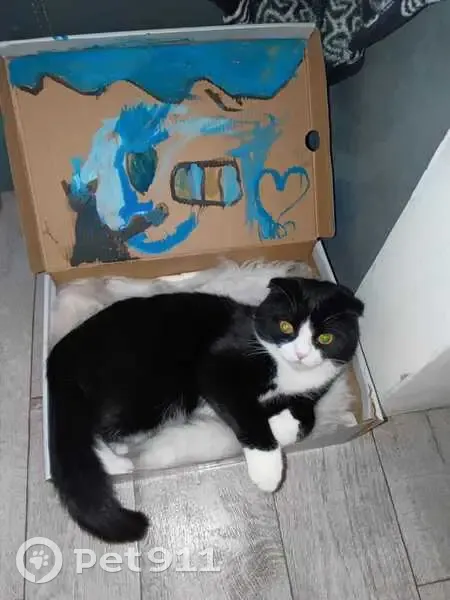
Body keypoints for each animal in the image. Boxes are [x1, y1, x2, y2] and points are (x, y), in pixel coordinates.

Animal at [47, 276, 363, 543]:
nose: (301, 354)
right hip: (147, 390)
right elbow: (246, 412)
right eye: (286, 326)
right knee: (91, 426)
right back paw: (117, 463)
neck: (287, 371)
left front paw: (280, 428)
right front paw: (268, 467)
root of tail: (62, 349)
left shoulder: (315, 390)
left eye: (325, 338)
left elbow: (305, 418)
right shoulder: (217, 365)